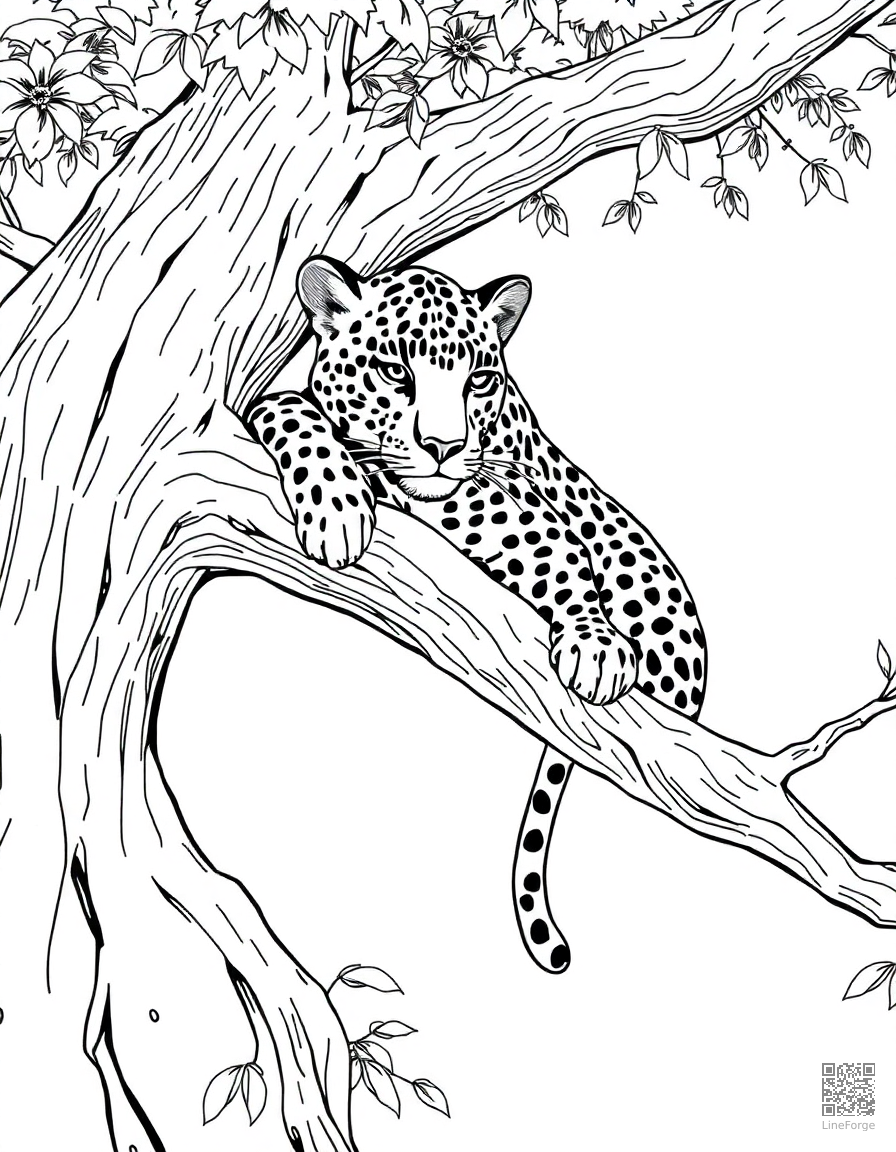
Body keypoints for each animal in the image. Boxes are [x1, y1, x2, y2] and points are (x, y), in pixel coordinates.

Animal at [246, 256, 707, 974]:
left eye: (479, 380)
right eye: (395, 371)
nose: (442, 444)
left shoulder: (514, 498)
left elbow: (553, 548)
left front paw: (594, 642)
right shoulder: (283, 408)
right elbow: (290, 408)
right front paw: (338, 503)